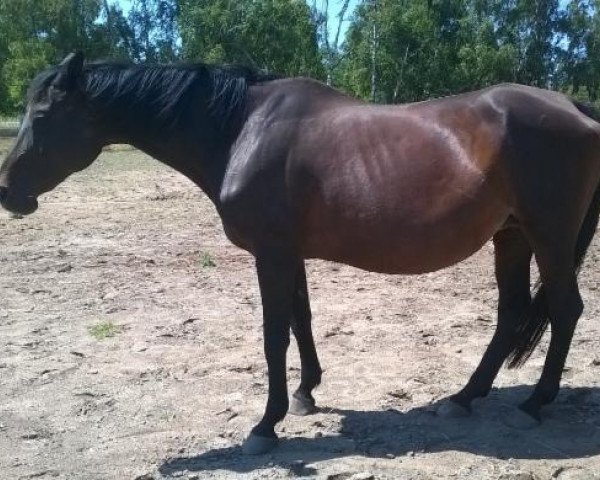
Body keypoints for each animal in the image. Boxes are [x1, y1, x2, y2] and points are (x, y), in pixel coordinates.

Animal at [1, 52, 600, 454]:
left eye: (43, 116)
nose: (8, 193)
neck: (242, 131)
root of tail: (573, 106)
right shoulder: (289, 254)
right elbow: (301, 320)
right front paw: (307, 393)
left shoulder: (271, 254)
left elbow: (273, 336)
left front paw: (265, 425)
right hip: (512, 237)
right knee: (512, 313)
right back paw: (464, 397)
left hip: (548, 236)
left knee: (565, 310)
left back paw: (533, 404)